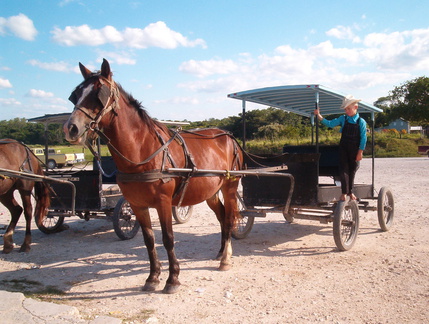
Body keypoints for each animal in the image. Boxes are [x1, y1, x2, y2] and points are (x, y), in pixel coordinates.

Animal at [64, 59, 244, 294]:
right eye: (75, 95)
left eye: (98, 94)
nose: (71, 128)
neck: (142, 151)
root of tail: (229, 137)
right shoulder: (137, 204)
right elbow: (149, 240)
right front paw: (152, 277)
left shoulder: (163, 202)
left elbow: (168, 238)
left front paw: (173, 279)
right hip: (210, 192)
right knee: (222, 216)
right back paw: (221, 251)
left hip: (230, 187)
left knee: (230, 218)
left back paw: (226, 259)